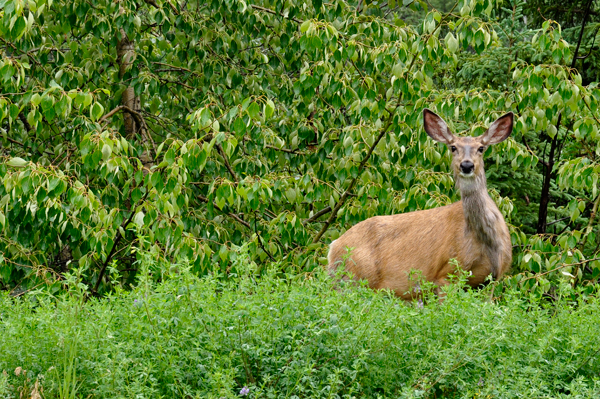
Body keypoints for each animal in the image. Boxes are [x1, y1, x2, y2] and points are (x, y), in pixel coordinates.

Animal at [326, 109, 512, 300]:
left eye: (481, 148)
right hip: (350, 278)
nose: (466, 165)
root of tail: (333, 247)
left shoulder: (492, 278)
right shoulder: (446, 275)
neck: (485, 243)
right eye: (453, 147)